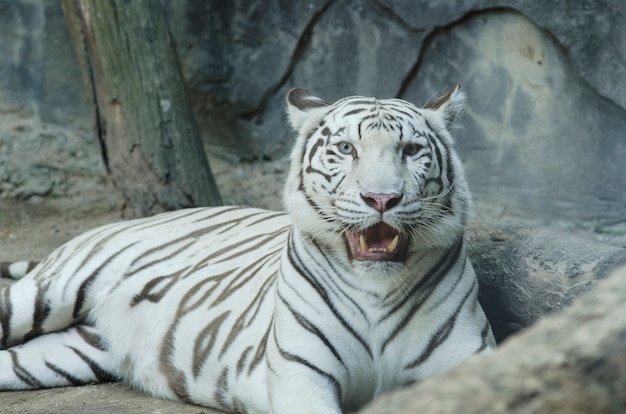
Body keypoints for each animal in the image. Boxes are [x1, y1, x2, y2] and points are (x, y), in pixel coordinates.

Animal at [2, 85, 494, 412]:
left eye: (410, 150)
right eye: (346, 148)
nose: (382, 199)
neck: (377, 288)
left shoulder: (469, 361)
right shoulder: (302, 375)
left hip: (69, 352)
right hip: (48, 293)